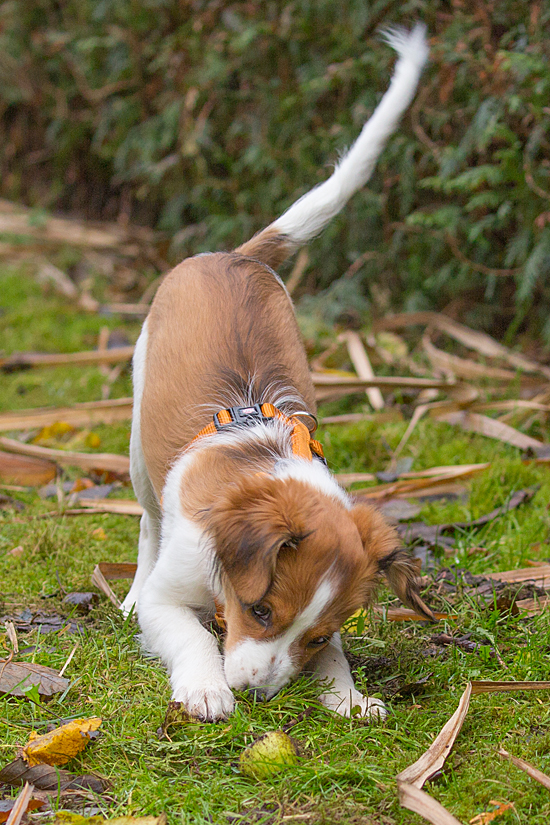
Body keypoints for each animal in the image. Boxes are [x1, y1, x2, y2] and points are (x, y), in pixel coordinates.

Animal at [122, 24, 436, 720]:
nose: (259, 695)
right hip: (136, 439)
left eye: (314, 636)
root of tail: (232, 255)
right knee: (147, 524)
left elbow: (337, 660)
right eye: (260, 610)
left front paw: (349, 696)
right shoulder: (171, 597)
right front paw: (206, 687)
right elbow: (190, 632)